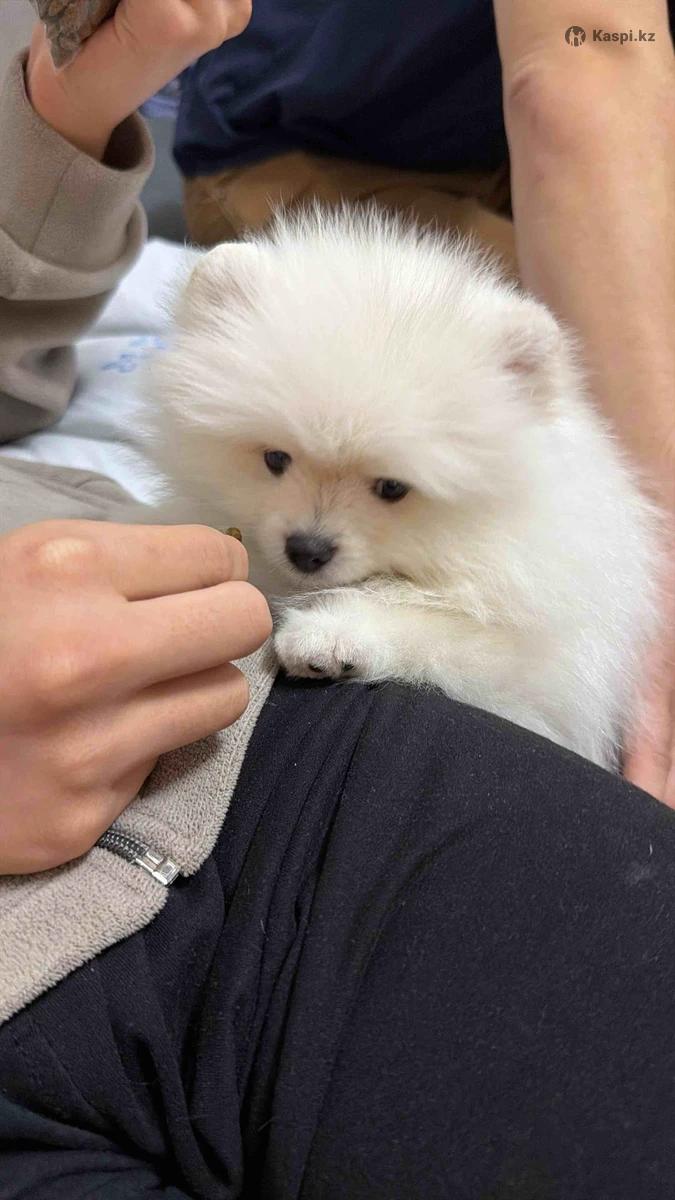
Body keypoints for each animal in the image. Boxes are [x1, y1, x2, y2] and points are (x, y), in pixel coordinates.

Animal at [147, 207, 659, 769]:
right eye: (275, 459)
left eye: (393, 487)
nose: (307, 549)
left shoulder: (548, 678)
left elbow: (442, 631)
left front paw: (332, 633)